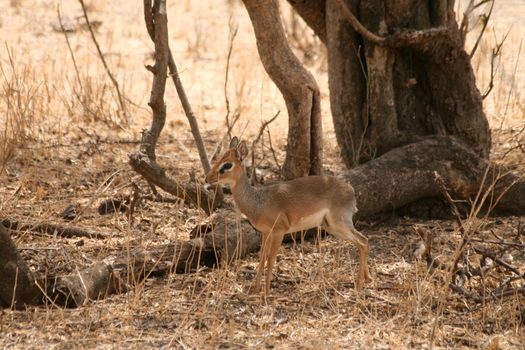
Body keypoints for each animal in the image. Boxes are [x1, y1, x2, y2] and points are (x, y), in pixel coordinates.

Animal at [206, 137, 372, 296]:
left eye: (227, 165)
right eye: (219, 159)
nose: (208, 178)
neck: (259, 202)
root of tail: (351, 190)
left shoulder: (279, 232)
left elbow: (271, 260)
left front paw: (266, 293)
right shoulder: (265, 233)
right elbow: (261, 259)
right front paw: (255, 290)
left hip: (339, 223)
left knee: (363, 241)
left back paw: (359, 285)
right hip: (331, 227)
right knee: (362, 242)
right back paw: (366, 279)